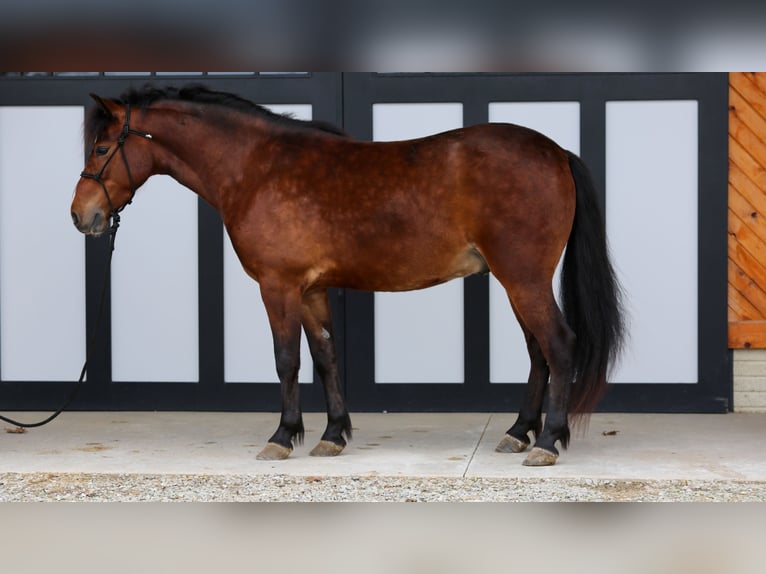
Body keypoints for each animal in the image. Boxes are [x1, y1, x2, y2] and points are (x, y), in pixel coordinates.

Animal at [71, 84, 624, 466]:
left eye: (101, 149)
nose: (81, 216)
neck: (256, 168)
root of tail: (556, 152)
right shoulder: (312, 289)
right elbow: (326, 356)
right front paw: (332, 435)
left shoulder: (279, 286)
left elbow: (287, 360)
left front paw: (281, 437)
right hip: (516, 282)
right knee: (539, 351)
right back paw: (518, 432)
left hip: (523, 279)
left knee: (559, 345)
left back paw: (547, 442)